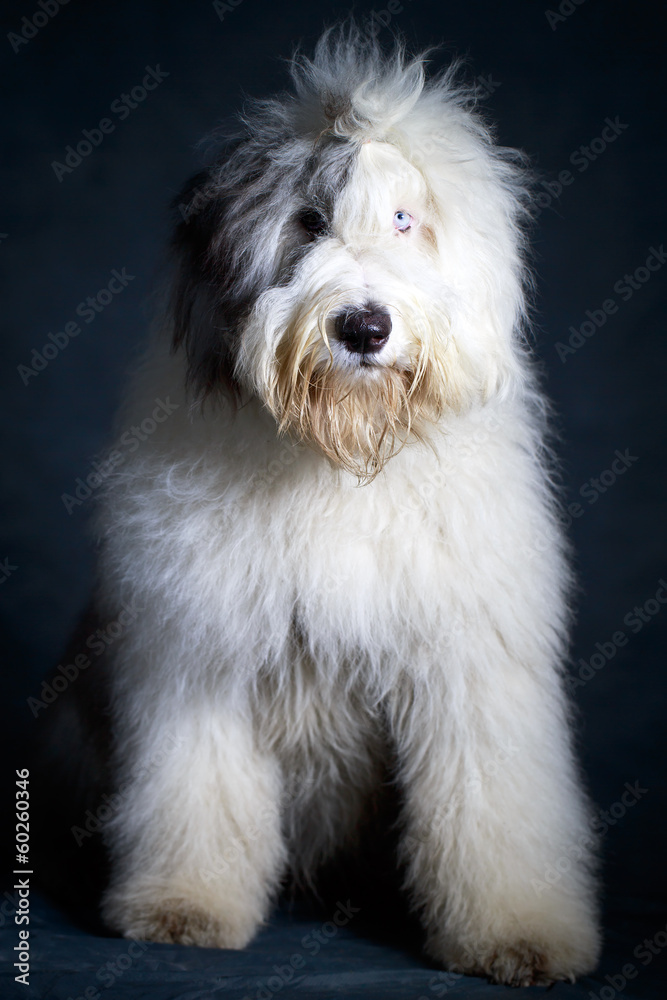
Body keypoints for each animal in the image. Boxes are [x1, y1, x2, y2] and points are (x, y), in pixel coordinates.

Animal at [52, 25, 604, 992]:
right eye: (308, 221)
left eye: (404, 221)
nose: (362, 327)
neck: (336, 461)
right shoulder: (201, 655)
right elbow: (196, 791)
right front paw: (183, 909)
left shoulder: (468, 659)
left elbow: (492, 806)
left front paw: (519, 933)